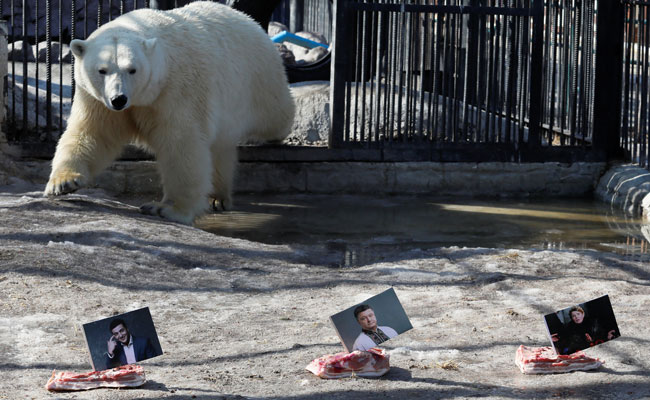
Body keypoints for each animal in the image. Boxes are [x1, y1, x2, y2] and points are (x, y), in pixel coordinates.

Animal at [44, 1, 295, 225]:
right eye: (102, 70)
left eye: (132, 69)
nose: (119, 99)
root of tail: (248, 20)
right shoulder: (97, 100)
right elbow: (93, 134)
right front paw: (63, 183)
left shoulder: (176, 90)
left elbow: (181, 145)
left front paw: (167, 209)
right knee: (220, 148)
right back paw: (217, 197)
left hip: (258, 80)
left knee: (276, 115)